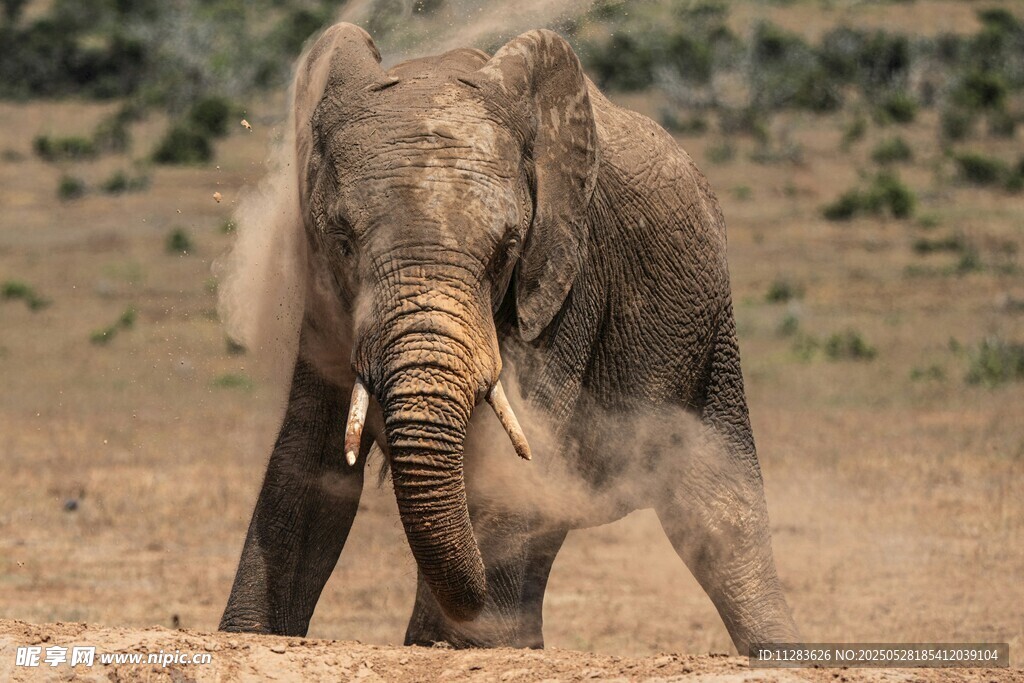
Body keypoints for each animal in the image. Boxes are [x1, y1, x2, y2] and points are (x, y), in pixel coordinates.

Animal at [219, 22, 799, 654]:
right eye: (342, 240)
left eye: (506, 250)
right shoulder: (324, 297)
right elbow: (306, 460)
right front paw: (249, 635)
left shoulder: (566, 281)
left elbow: (510, 457)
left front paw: (448, 645)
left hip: (711, 335)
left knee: (718, 515)